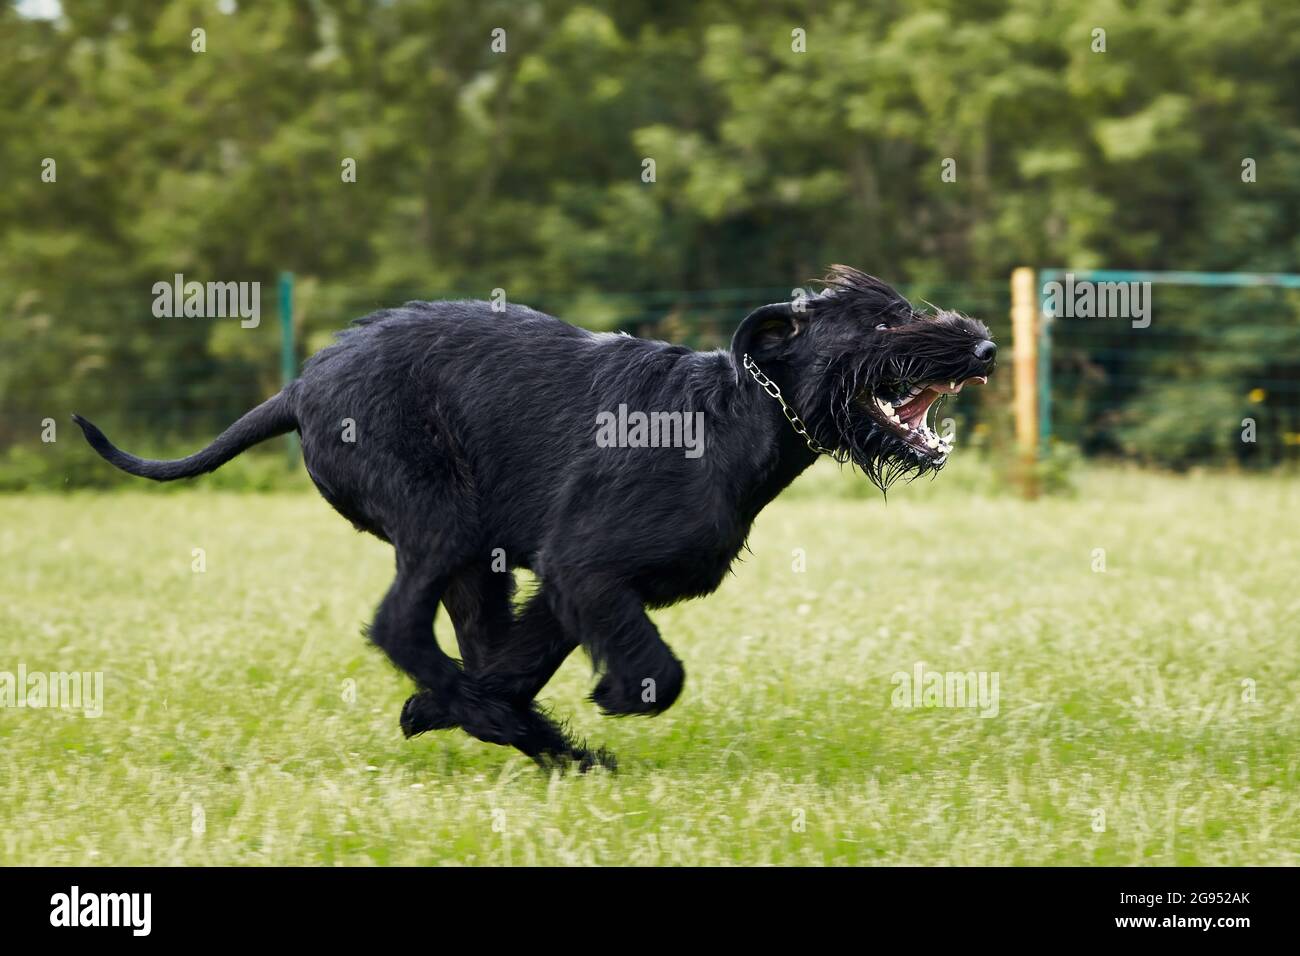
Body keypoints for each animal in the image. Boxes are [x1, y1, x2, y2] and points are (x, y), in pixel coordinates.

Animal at [76, 267, 993, 770]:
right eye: (883, 320)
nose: (983, 346)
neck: (735, 415)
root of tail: (300, 388)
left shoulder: (563, 586)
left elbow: (520, 659)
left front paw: (455, 713)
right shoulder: (585, 566)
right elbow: (659, 671)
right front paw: (604, 698)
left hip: (471, 556)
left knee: (465, 645)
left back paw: (524, 736)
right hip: (438, 522)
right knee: (396, 625)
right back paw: (509, 727)